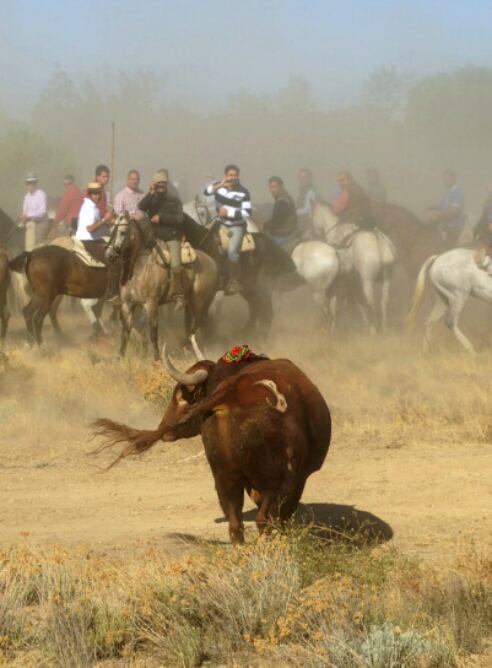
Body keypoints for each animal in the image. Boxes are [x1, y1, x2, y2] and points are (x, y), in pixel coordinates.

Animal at [92, 344, 330, 544]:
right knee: (265, 519)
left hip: (224, 476)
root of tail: (230, 391)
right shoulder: (296, 479)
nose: (164, 427)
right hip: (273, 480)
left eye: (181, 396)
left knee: (236, 523)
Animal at [316, 201, 396, 332]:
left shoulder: (345, 281)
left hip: (367, 282)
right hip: (387, 279)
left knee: (370, 302)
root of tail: (377, 239)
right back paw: (384, 328)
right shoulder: (353, 280)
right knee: (384, 302)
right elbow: (357, 300)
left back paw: (373, 329)